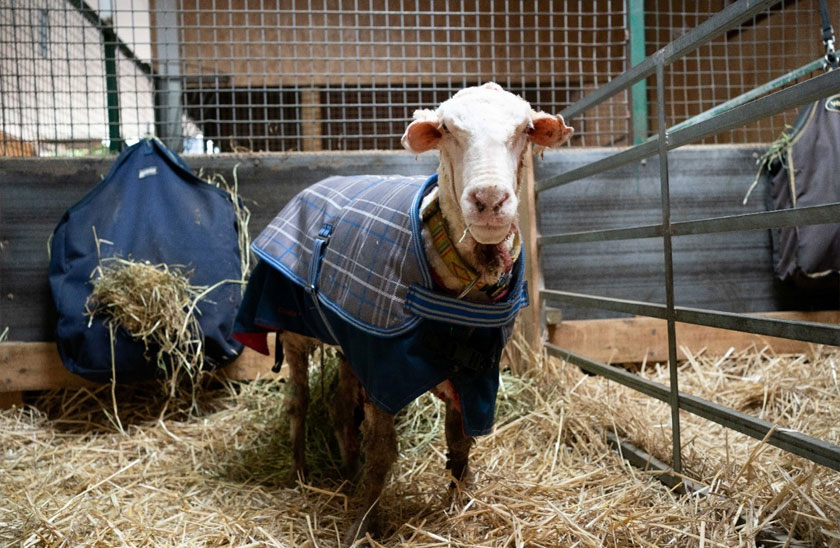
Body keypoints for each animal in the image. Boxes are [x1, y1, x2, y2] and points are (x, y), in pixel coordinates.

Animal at [234, 82, 573, 546]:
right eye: (447, 130)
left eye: (525, 130)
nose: (488, 200)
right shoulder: (384, 367)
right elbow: (382, 453)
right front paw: (362, 525)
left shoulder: (474, 371)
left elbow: (459, 443)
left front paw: (460, 505)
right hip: (295, 330)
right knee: (298, 401)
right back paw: (301, 472)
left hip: (349, 344)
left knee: (340, 406)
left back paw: (347, 472)